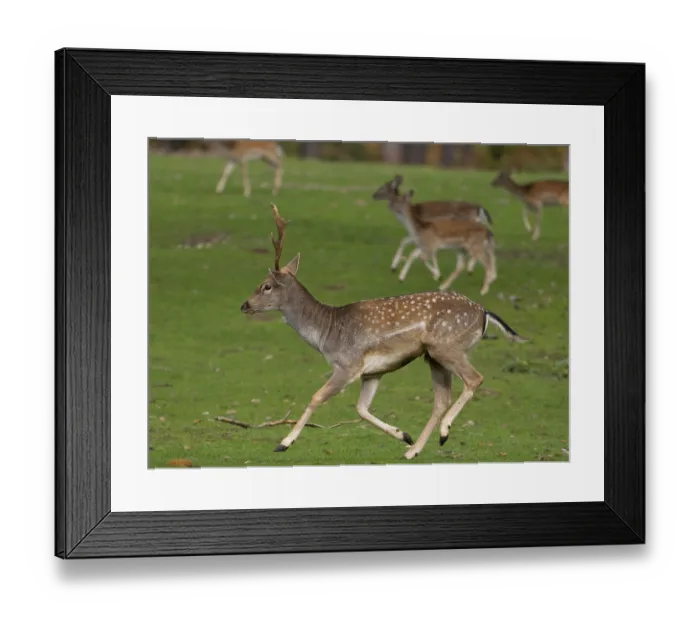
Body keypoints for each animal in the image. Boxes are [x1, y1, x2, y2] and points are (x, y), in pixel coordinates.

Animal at [239, 205, 526, 460]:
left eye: (266, 286)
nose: (244, 305)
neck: (326, 333)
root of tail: (484, 313)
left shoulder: (348, 364)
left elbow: (317, 396)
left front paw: (283, 443)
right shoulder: (373, 372)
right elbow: (361, 408)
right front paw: (404, 435)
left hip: (446, 346)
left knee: (475, 378)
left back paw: (444, 432)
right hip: (433, 357)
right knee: (441, 399)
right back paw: (414, 450)